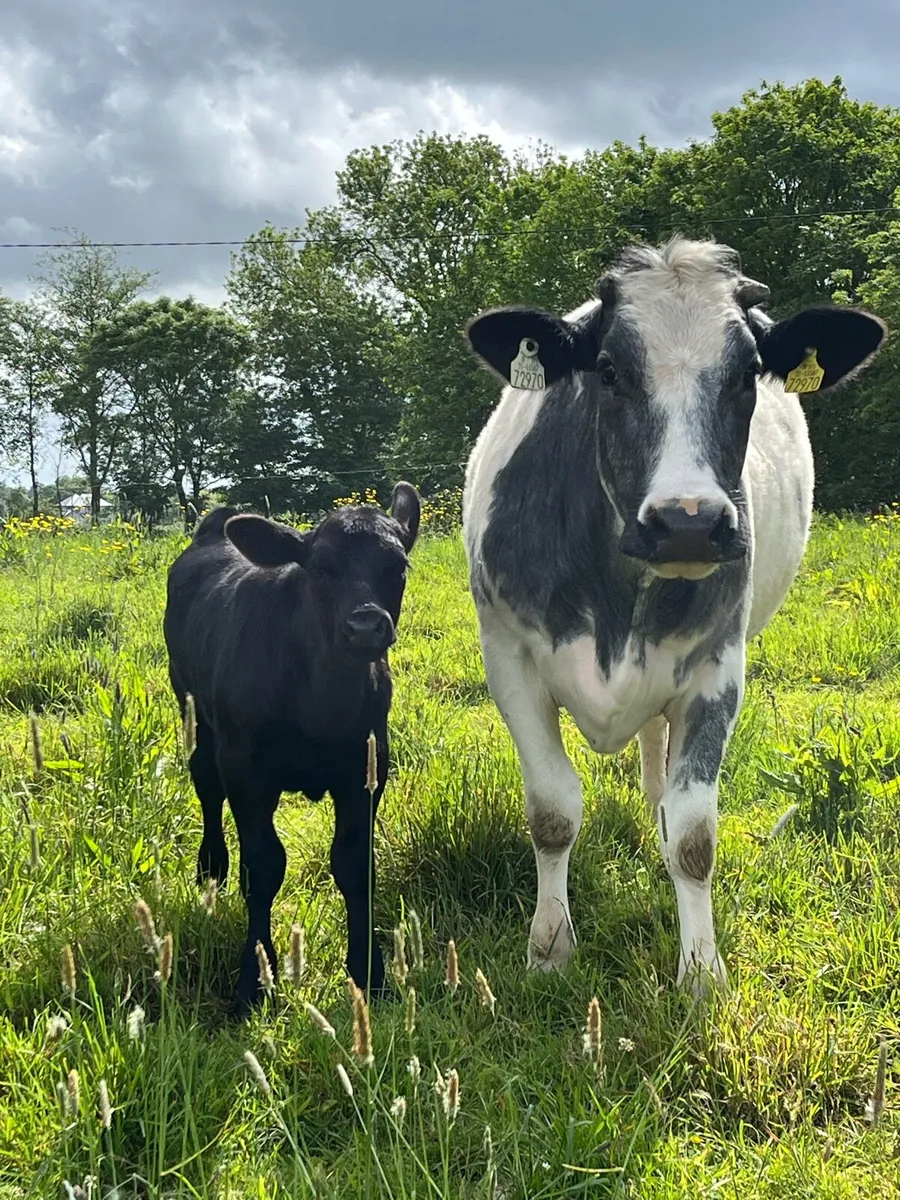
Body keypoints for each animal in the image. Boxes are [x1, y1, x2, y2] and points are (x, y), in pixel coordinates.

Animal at [163, 484, 421, 1013]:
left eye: (398, 565)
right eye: (320, 566)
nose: (366, 626)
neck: (321, 703)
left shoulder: (367, 767)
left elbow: (354, 865)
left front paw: (370, 973)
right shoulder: (246, 769)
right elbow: (262, 867)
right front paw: (253, 980)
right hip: (195, 716)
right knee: (206, 789)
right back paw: (211, 867)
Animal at [462, 237, 886, 993]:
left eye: (748, 373)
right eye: (608, 370)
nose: (687, 523)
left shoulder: (717, 667)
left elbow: (691, 834)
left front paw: (701, 971)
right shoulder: (509, 657)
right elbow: (552, 812)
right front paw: (550, 948)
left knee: (659, 768)